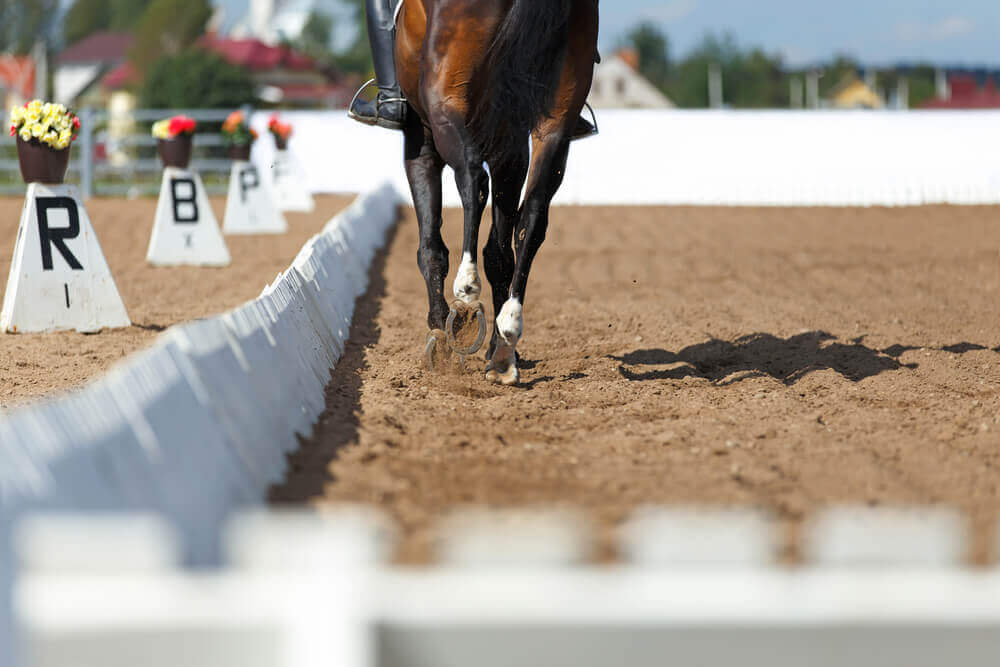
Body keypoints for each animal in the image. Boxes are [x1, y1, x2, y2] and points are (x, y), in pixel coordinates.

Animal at [396, 0, 600, 386]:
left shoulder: (420, 139)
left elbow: (431, 247)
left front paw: (439, 335)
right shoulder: (512, 143)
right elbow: (500, 250)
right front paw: (493, 344)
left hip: (445, 97)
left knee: (473, 178)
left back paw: (466, 295)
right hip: (555, 118)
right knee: (532, 216)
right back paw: (506, 343)